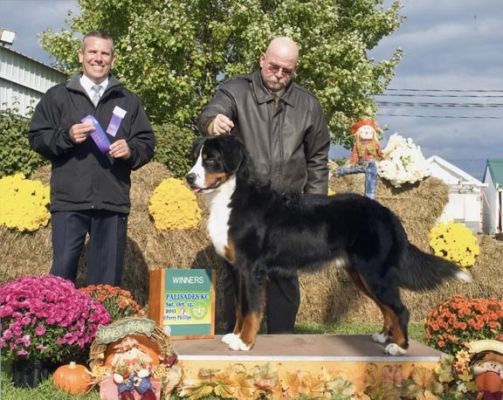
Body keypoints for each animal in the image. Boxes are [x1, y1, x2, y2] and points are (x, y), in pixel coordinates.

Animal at [186, 134, 472, 354]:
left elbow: (252, 310)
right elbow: (239, 306)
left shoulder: (252, 270)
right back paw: (383, 336)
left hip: (375, 273)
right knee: (387, 308)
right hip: (361, 274)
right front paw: (234, 336)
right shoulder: (237, 269)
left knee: (400, 309)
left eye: (210, 159)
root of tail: (387, 214)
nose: (189, 177)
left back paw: (399, 347)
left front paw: (245, 342)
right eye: (197, 157)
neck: (230, 197)